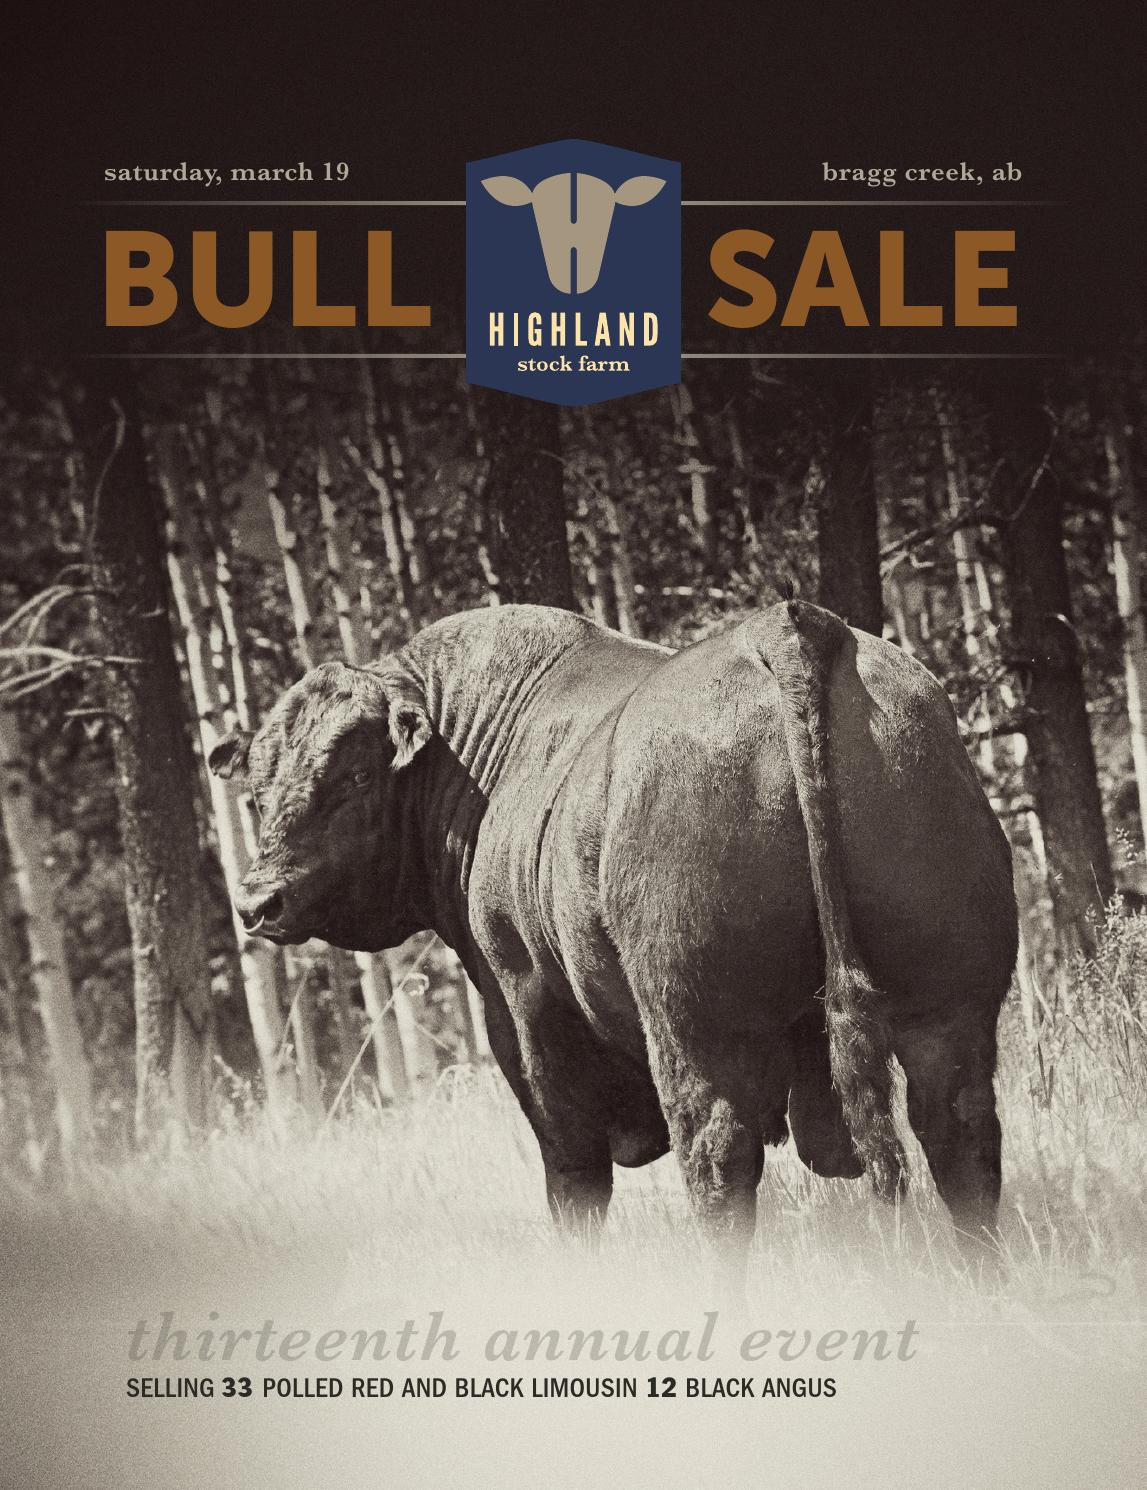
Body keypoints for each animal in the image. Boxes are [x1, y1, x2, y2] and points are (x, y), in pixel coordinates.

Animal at [209, 601, 1017, 1283]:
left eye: (351, 776)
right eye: (255, 791)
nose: (257, 900)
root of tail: (788, 626)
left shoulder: (524, 1013)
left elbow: (571, 1167)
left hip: (693, 1027)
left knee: (717, 1157)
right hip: (947, 1005)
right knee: (958, 1127)